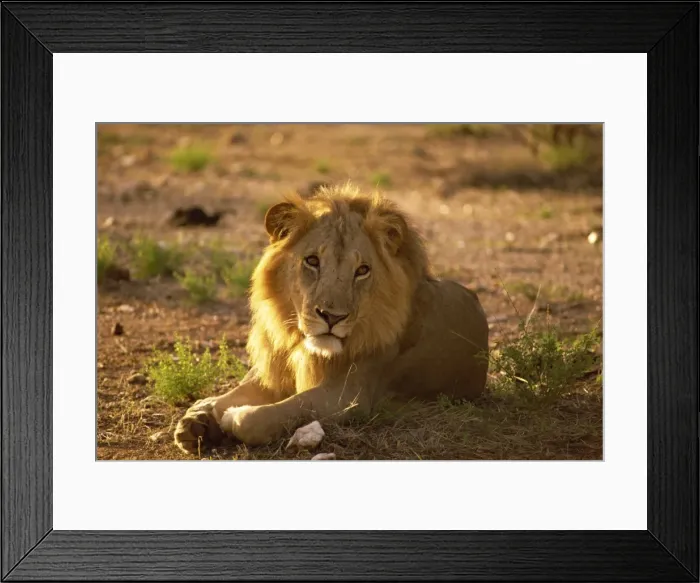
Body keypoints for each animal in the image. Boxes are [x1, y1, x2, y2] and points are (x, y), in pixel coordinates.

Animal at [174, 183, 489, 453]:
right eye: (312, 261)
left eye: (362, 270)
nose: (332, 317)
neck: (305, 347)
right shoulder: (275, 370)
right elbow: (236, 393)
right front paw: (197, 420)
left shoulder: (350, 396)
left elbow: (274, 413)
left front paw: (231, 418)